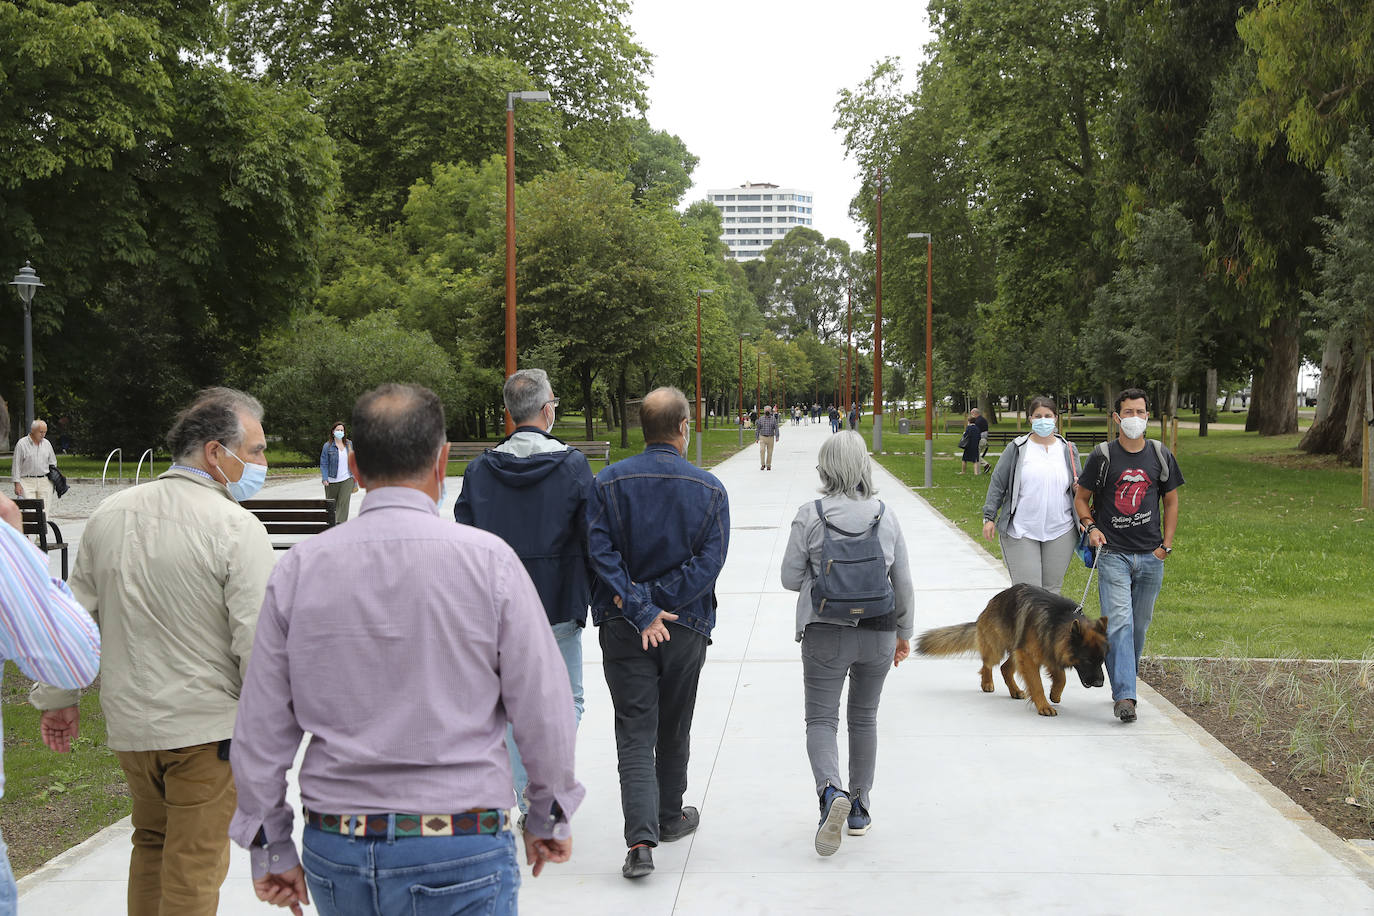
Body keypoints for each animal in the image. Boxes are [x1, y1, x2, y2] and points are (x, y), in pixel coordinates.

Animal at [917, 587, 1110, 714]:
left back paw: (1014, 690)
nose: (1100, 683)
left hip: (1017, 649)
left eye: (1101, 661)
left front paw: (1055, 693)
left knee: (1004, 668)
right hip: (999, 649)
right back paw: (987, 682)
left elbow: (1061, 677)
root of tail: (991, 603)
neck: (1058, 621)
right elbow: (1036, 684)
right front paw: (1044, 706)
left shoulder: (1050, 649)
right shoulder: (1030, 655)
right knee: (988, 664)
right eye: (1087, 661)